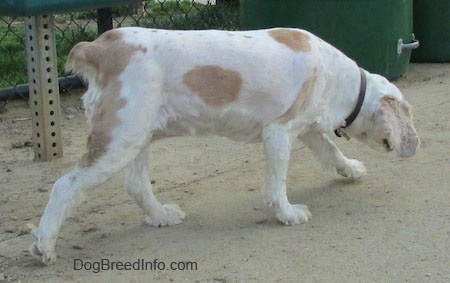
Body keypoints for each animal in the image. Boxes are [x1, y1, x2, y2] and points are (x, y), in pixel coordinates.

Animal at [29, 26, 420, 264]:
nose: (415, 144)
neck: (341, 80)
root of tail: (103, 46)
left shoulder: (307, 128)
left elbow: (331, 151)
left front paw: (351, 169)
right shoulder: (279, 133)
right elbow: (277, 185)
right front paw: (287, 214)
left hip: (138, 136)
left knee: (136, 184)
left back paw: (161, 215)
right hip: (118, 140)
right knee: (65, 185)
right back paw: (44, 245)